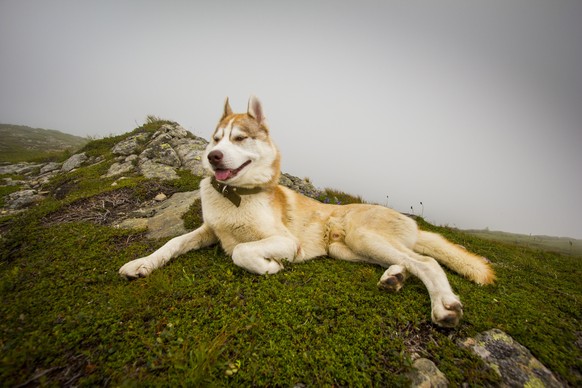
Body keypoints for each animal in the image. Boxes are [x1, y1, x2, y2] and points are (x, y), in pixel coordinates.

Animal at [120, 96, 498, 328]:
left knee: (427, 262)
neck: (236, 198)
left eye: (239, 139)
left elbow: (242, 252)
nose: (214, 157)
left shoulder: (286, 242)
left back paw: (443, 306)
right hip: (347, 249)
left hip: (362, 236)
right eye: (215, 139)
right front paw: (142, 264)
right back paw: (394, 277)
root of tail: (412, 222)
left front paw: (269, 267)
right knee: (406, 261)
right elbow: (172, 243)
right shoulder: (209, 231)